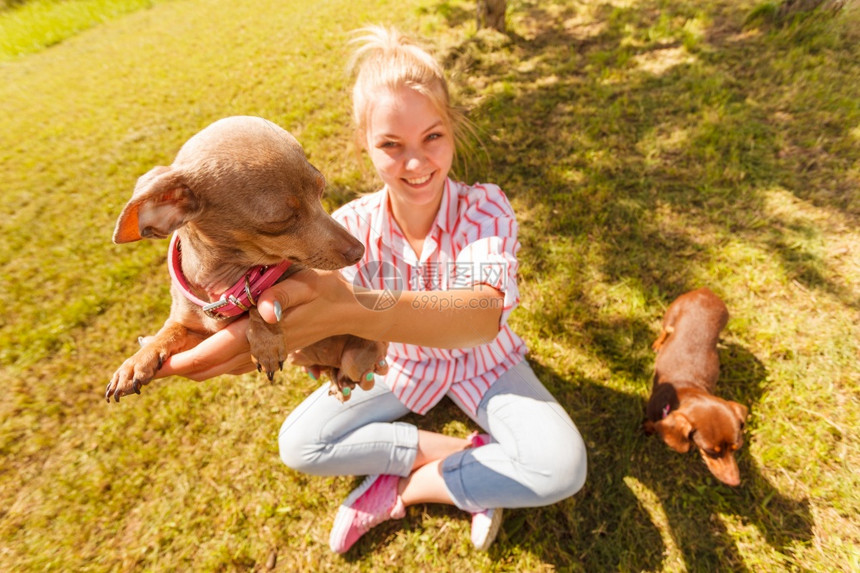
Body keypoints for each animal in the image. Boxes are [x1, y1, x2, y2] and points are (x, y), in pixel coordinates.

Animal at [106, 115, 388, 402]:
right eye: (281, 220)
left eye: (321, 192)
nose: (358, 250)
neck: (222, 284)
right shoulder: (199, 331)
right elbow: (171, 330)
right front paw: (138, 360)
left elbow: (258, 300)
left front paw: (265, 342)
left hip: (355, 358)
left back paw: (342, 384)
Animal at [644, 288, 744, 484]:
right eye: (710, 451)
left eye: (736, 448)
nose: (735, 482)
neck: (687, 389)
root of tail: (705, 290)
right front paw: (648, 430)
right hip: (671, 316)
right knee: (666, 330)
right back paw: (658, 344)